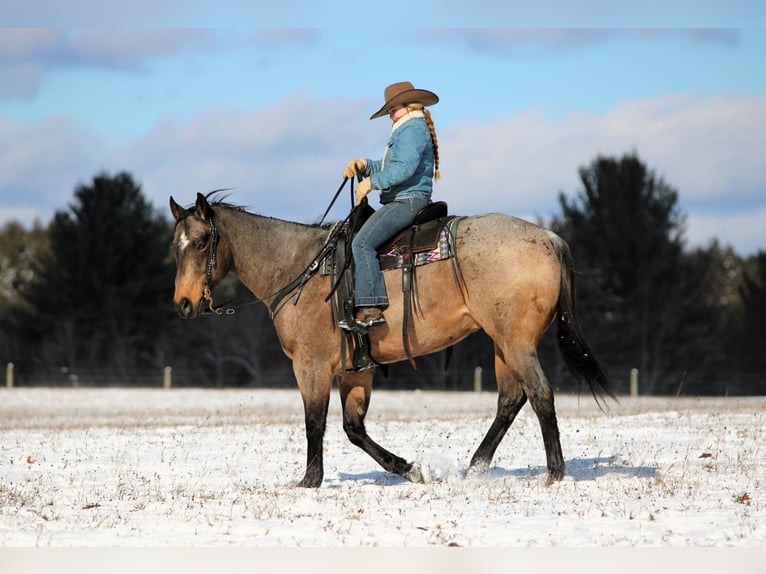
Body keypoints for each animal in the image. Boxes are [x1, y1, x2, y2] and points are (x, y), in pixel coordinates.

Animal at [169, 191, 614, 487]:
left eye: (203, 242)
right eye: (175, 246)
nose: (184, 304)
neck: (299, 268)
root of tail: (549, 238)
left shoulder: (311, 366)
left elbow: (315, 422)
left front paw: (309, 480)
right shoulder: (355, 371)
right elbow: (353, 428)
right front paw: (411, 469)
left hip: (516, 342)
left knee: (539, 394)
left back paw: (554, 473)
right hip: (502, 345)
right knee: (510, 400)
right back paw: (474, 469)